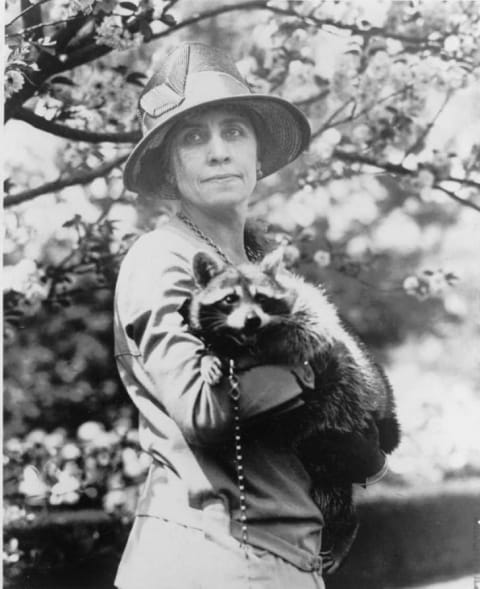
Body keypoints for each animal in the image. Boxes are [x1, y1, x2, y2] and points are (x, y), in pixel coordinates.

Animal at [182, 249, 400, 576]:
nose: (251, 320)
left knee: (332, 491)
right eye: (229, 299)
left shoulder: (306, 317)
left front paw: (241, 355)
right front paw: (210, 355)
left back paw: (347, 527)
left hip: (344, 417)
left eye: (261, 298)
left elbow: (303, 332)